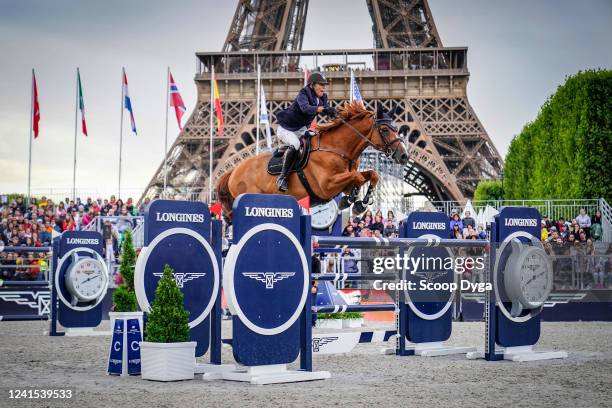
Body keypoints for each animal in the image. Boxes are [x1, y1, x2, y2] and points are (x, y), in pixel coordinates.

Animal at [216, 102, 412, 222]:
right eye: (385, 129)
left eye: (397, 128)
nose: (404, 156)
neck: (338, 148)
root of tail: (233, 171)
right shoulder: (327, 186)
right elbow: (357, 177)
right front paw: (353, 202)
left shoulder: (344, 181)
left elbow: (372, 175)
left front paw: (358, 202)